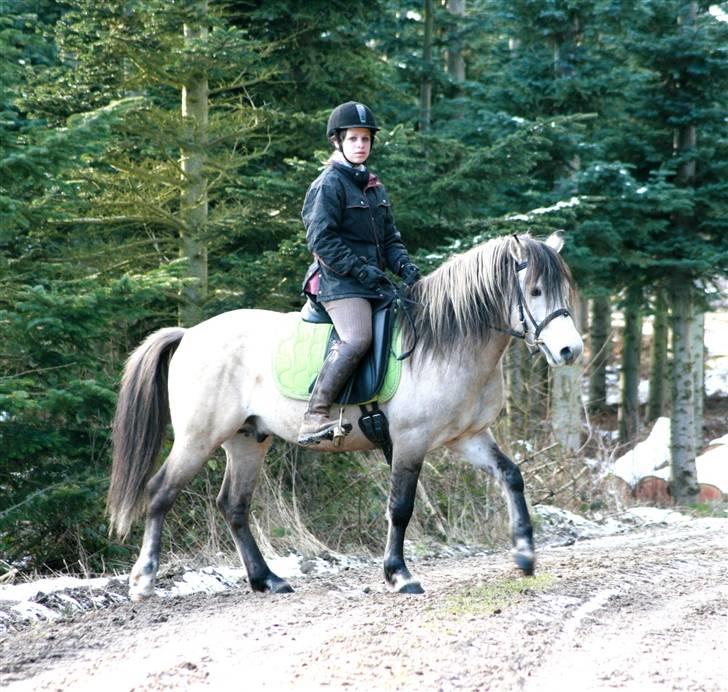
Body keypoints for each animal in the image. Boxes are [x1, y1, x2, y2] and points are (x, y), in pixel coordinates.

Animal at [108, 232, 584, 600]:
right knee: (160, 492)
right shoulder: (410, 441)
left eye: (564, 290)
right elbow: (400, 507)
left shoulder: (467, 437)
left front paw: (525, 555)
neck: (445, 343)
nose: (570, 351)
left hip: (247, 440)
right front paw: (399, 575)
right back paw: (144, 582)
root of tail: (190, 334)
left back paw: (267, 580)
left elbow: (511, 475)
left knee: (234, 505)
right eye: (535, 291)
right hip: (198, 438)